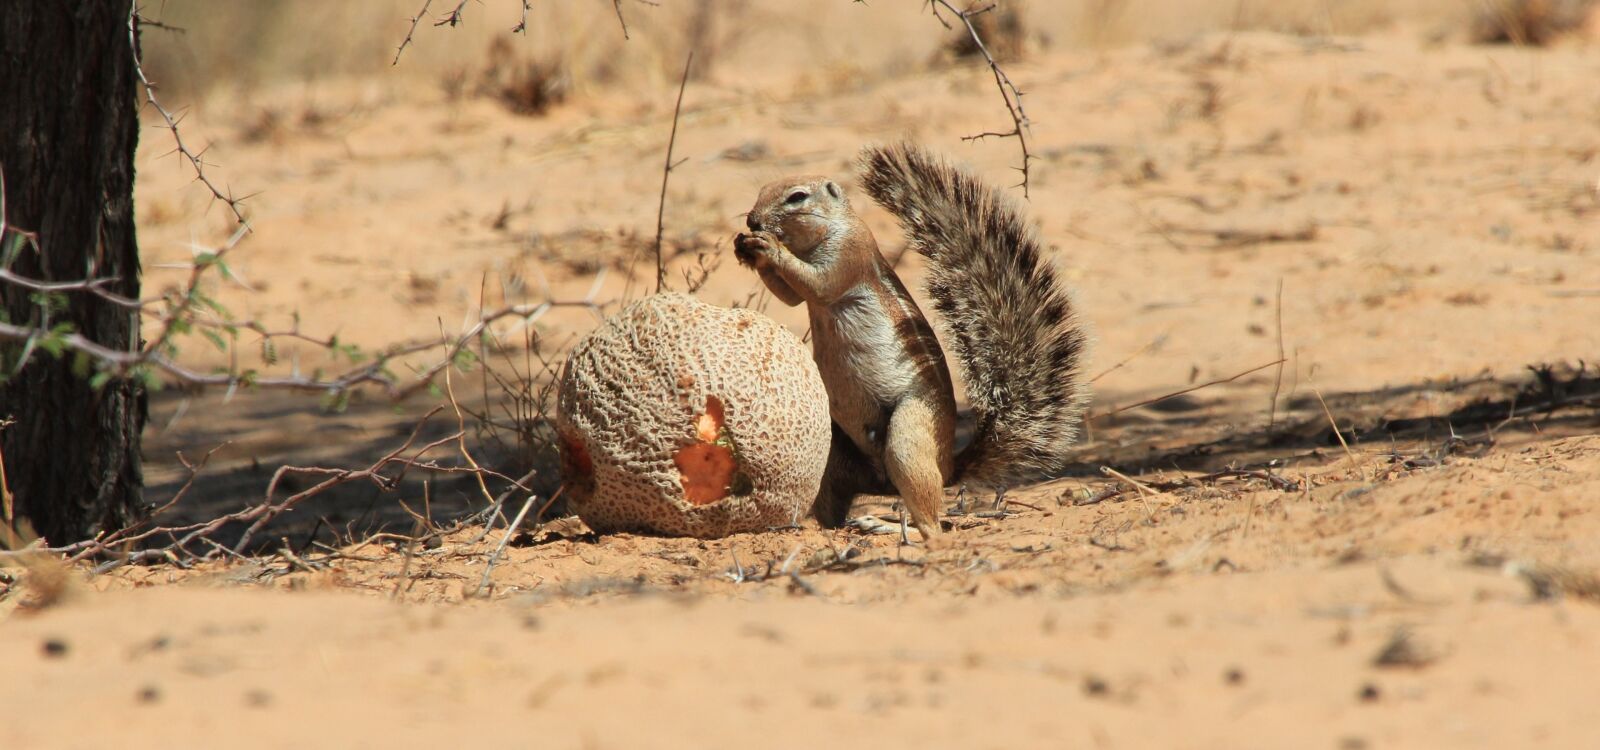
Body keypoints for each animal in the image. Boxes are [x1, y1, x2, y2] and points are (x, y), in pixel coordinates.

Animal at [733, 141, 1090, 540]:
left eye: (797, 197)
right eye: (763, 190)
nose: (752, 221)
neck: (832, 227)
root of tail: (948, 467)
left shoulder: (849, 254)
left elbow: (818, 284)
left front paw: (767, 247)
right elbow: (792, 297)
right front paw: (745, 249)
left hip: (909, 434)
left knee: (933, 521)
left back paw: (897, 528)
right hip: (832, 454)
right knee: (836, 509)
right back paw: (827, 529)